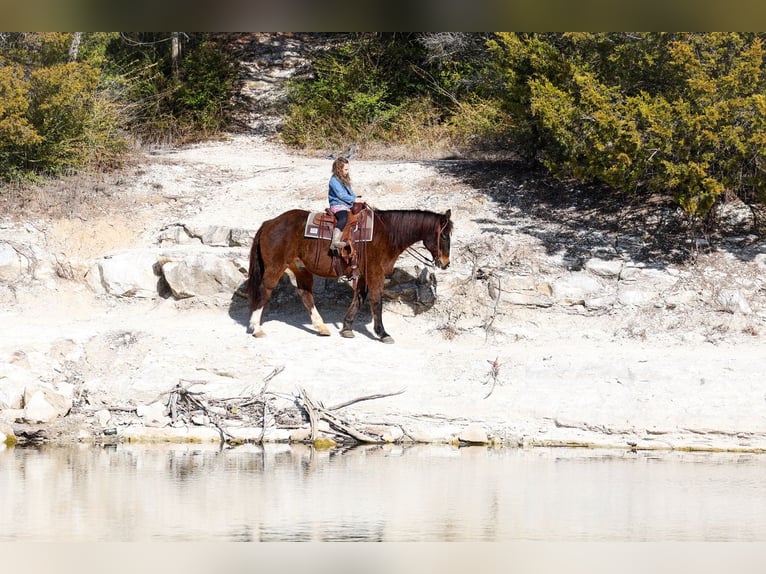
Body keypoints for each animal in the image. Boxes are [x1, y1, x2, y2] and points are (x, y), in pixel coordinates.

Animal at [246, 207, 453, 343]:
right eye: (444, 235)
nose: (445, 263)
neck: (387, 233)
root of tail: (270, 223)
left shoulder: (363, 275)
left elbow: (359, 298)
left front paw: (346, 327)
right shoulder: (375, 273)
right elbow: (376, 301)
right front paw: (382, 333)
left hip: (301, 268)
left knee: (305, 294)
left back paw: (321, 327)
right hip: (275, 267)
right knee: (265, 290)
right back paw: (256, 327)